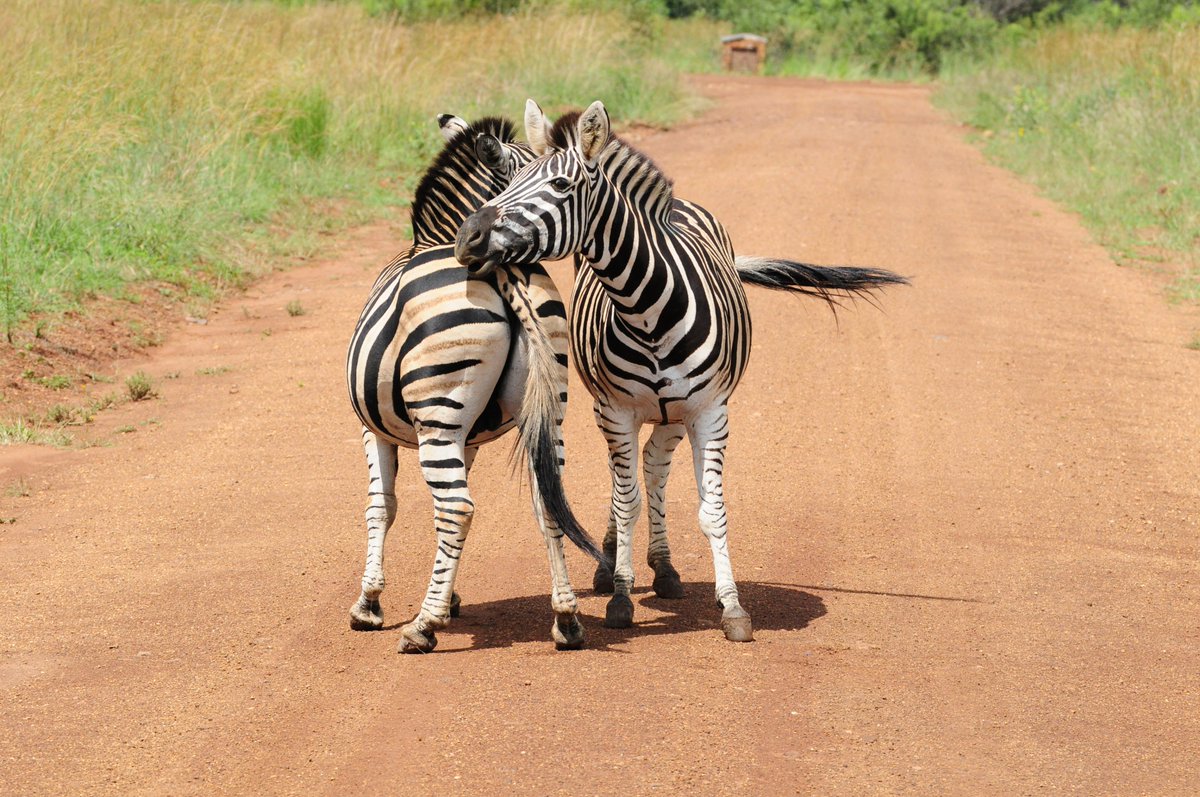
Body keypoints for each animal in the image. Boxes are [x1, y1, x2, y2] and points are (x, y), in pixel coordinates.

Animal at [346, 114, 603, 653]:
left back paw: (422, 628)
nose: (478, 240)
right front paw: (449, 594)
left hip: (438, 415)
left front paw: (371, 603)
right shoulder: (471, 438)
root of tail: (499, 271)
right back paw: (566, 619)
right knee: (547, 499)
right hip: (547, 410)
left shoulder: (374, 430)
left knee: (458, 507)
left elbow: (382, 506)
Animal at [455, 100, 908, 642]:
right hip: (621, 412)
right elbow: (625, 503)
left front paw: (732, 607)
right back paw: (619, 562)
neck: (646, 308)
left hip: (674, 412)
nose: (467, 235)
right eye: (511, 180)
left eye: (561, 185)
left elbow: (711, 510)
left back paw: (665, 568)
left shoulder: (709, 411)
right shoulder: (618, 411)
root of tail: (681, 204)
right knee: (628, 478)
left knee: (654, 466)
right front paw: (622, 596)